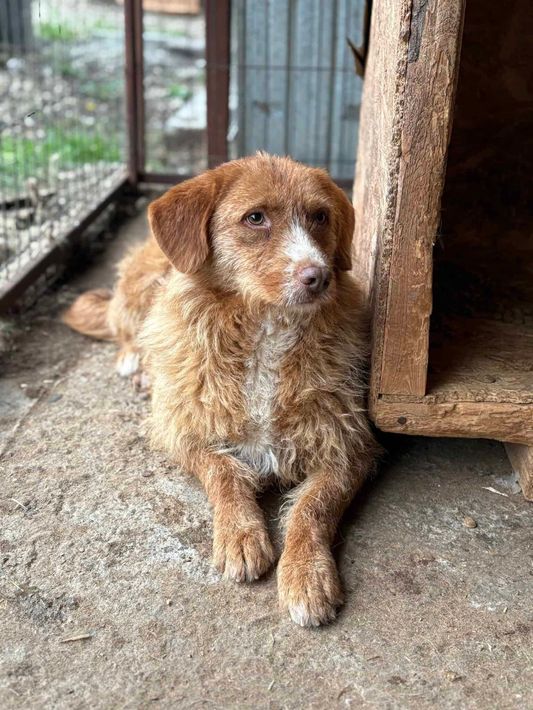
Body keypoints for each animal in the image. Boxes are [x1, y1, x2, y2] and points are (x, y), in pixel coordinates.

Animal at [63, 153, 378, 627]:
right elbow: (223, 472)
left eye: (320, 216)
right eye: (256, 218)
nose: (318, 276)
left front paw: (307, 574)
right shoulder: (181, 430)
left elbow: (312, 507)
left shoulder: (349, 446)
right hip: (139, 287)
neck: (266, 329)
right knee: (122, 323)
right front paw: (241, 535)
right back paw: (136, 361)